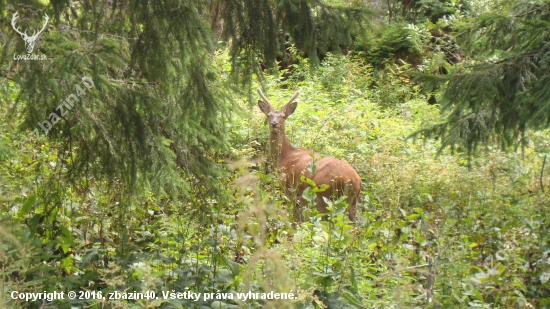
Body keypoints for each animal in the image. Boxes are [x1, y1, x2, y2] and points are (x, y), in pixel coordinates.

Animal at [258, 88, 362, 220]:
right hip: (352, 201)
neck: (284, 155)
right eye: (269, 115)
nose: (274, 123)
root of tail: (355, 181)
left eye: (283, 116)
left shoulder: (288, 186)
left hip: (323, 194)